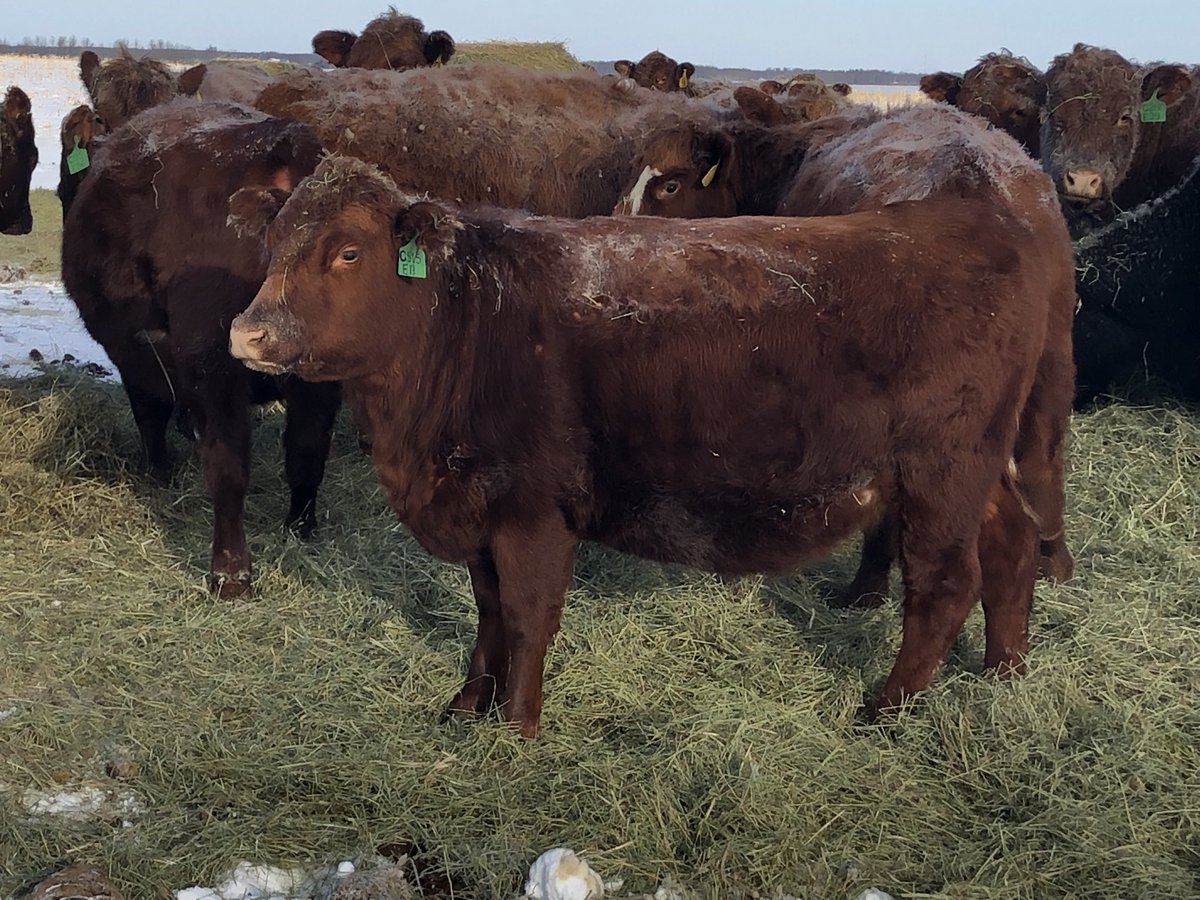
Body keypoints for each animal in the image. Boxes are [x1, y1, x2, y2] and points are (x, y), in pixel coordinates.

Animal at [61, 101, 339, 598]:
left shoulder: (141, 357)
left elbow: (152, 416)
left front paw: (158, 474)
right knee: (306, 451)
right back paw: (298, 528)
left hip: (213, 368)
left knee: (227, 465)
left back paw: (230, 572)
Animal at [229, 155, 1060, 737]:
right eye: (273, 242)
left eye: (347, 252)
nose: (248, 333)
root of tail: (985, 223)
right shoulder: (480, 508)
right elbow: (487, 612)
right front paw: (466, 704)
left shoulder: (533, 512)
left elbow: (526, 616)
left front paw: (518, 725)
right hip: (977, 471)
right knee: (1013, 544)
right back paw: (1006, 674)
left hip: (942, 471)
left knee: (946, 583)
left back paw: (885, 710)